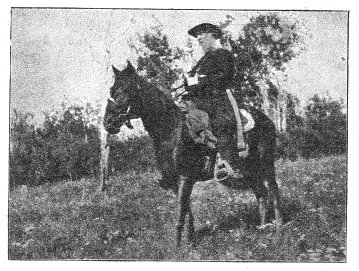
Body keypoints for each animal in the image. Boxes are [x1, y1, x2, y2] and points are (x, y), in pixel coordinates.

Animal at [102, 61, 282, 249]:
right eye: (112, 90)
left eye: (127, 89)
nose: (107, 122)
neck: (170, 130)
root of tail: (266, 120)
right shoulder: (174, 181)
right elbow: (187, 210)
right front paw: (190, 241)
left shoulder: (185, 177)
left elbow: (181, 210)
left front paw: (177, 247)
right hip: (250, 170)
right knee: (261, 194)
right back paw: (262, 229)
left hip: (266, 163)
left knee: (273, 192)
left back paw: (278, 232)